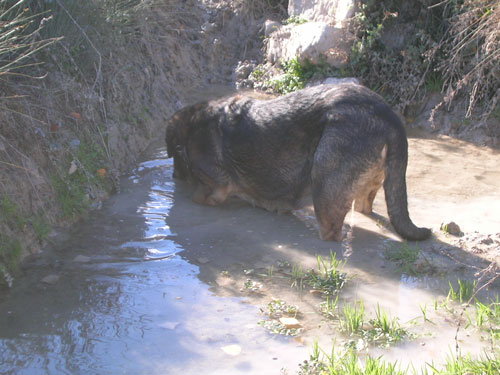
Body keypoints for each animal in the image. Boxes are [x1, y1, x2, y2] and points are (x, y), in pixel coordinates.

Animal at [166, 82, 432, 242]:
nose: (174, 177)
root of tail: (388, 115)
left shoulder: (215, 188)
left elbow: (198, 196)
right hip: (367, 188)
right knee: (365, 208)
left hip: (324, 183)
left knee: (331, 231)